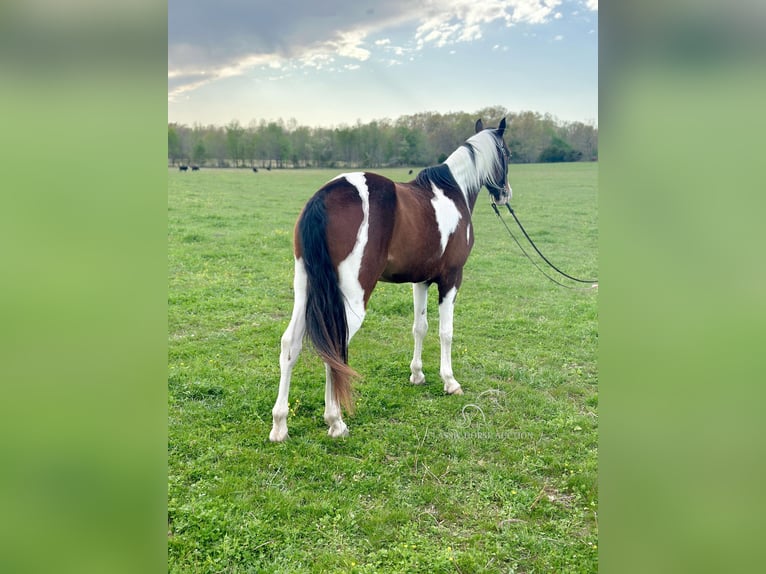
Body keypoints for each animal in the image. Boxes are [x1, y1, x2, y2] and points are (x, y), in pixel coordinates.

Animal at [272, 116, 516, 440]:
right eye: (507, 154)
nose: (505, 194)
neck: (454, 191)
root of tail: (324, 196)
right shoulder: (451, 278)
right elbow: (446, 332)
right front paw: (450, 382)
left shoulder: (421, 281)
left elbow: (420, 327)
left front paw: (417, 374)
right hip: (352, 297)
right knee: (335, 347)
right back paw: (336, 422)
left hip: (305, 289)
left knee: (291, 344)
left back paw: (280, 426)